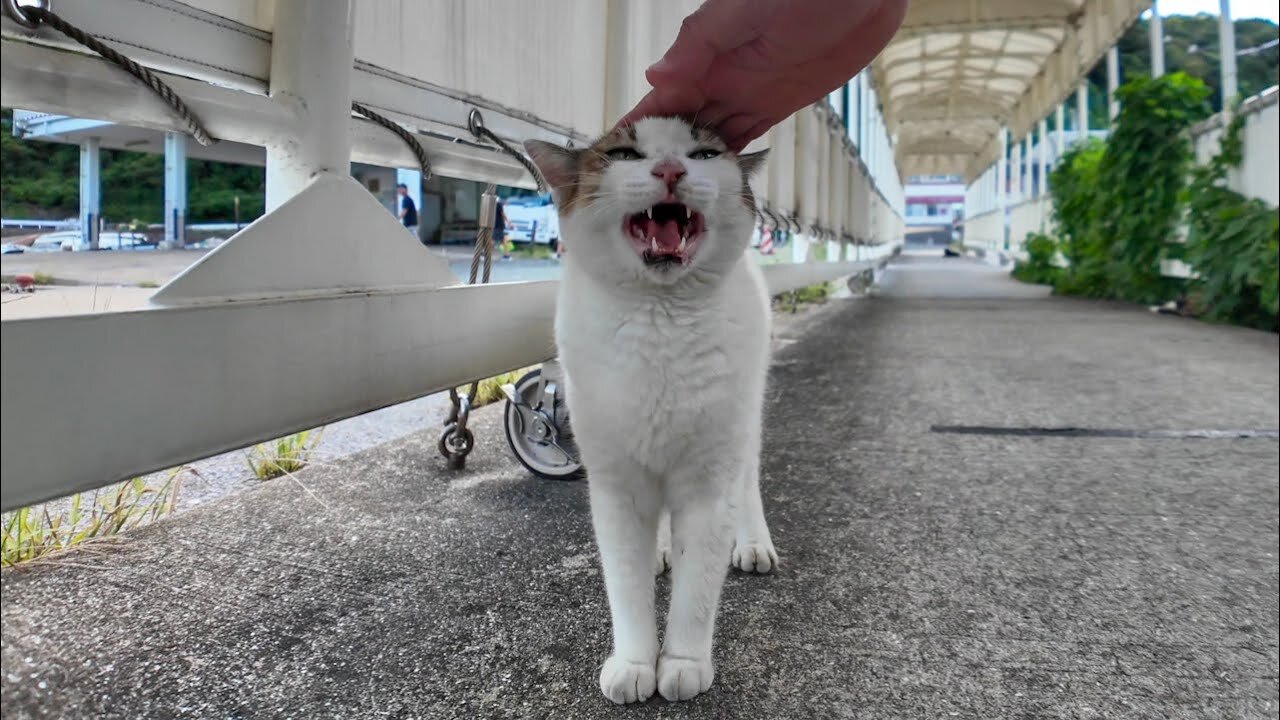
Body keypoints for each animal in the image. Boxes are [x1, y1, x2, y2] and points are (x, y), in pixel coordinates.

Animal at [522, 116, 778, 702]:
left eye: (704, 153)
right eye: (623, 155)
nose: (668, 169)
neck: (660, 321)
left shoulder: (709, 483)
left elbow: (697, 586)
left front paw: (682, 663)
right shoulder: (617, 487)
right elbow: (625, 582)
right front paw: (635, 663)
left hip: (745, 423)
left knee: (749, 483)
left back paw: (754, 543)